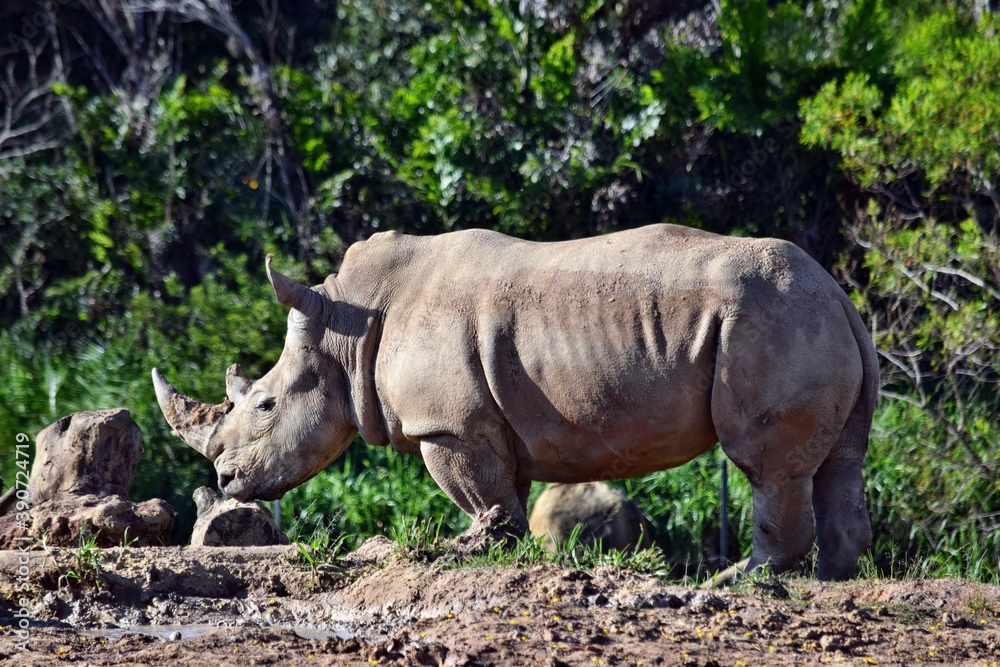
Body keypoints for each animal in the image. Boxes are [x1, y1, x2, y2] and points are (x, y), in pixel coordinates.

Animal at [152, 224, 878, 580]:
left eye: (265, 404)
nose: (225, 477)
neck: (346, 328)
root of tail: (838, 292)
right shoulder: (486, 421)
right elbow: (505, 493)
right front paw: (490, 546)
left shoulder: (449, 424)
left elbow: (483, 497)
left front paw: (464, 549)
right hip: (806, 318)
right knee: (840, 462)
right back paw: (834, 577)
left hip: (770, 319)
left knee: (765, 467)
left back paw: (739, 581)